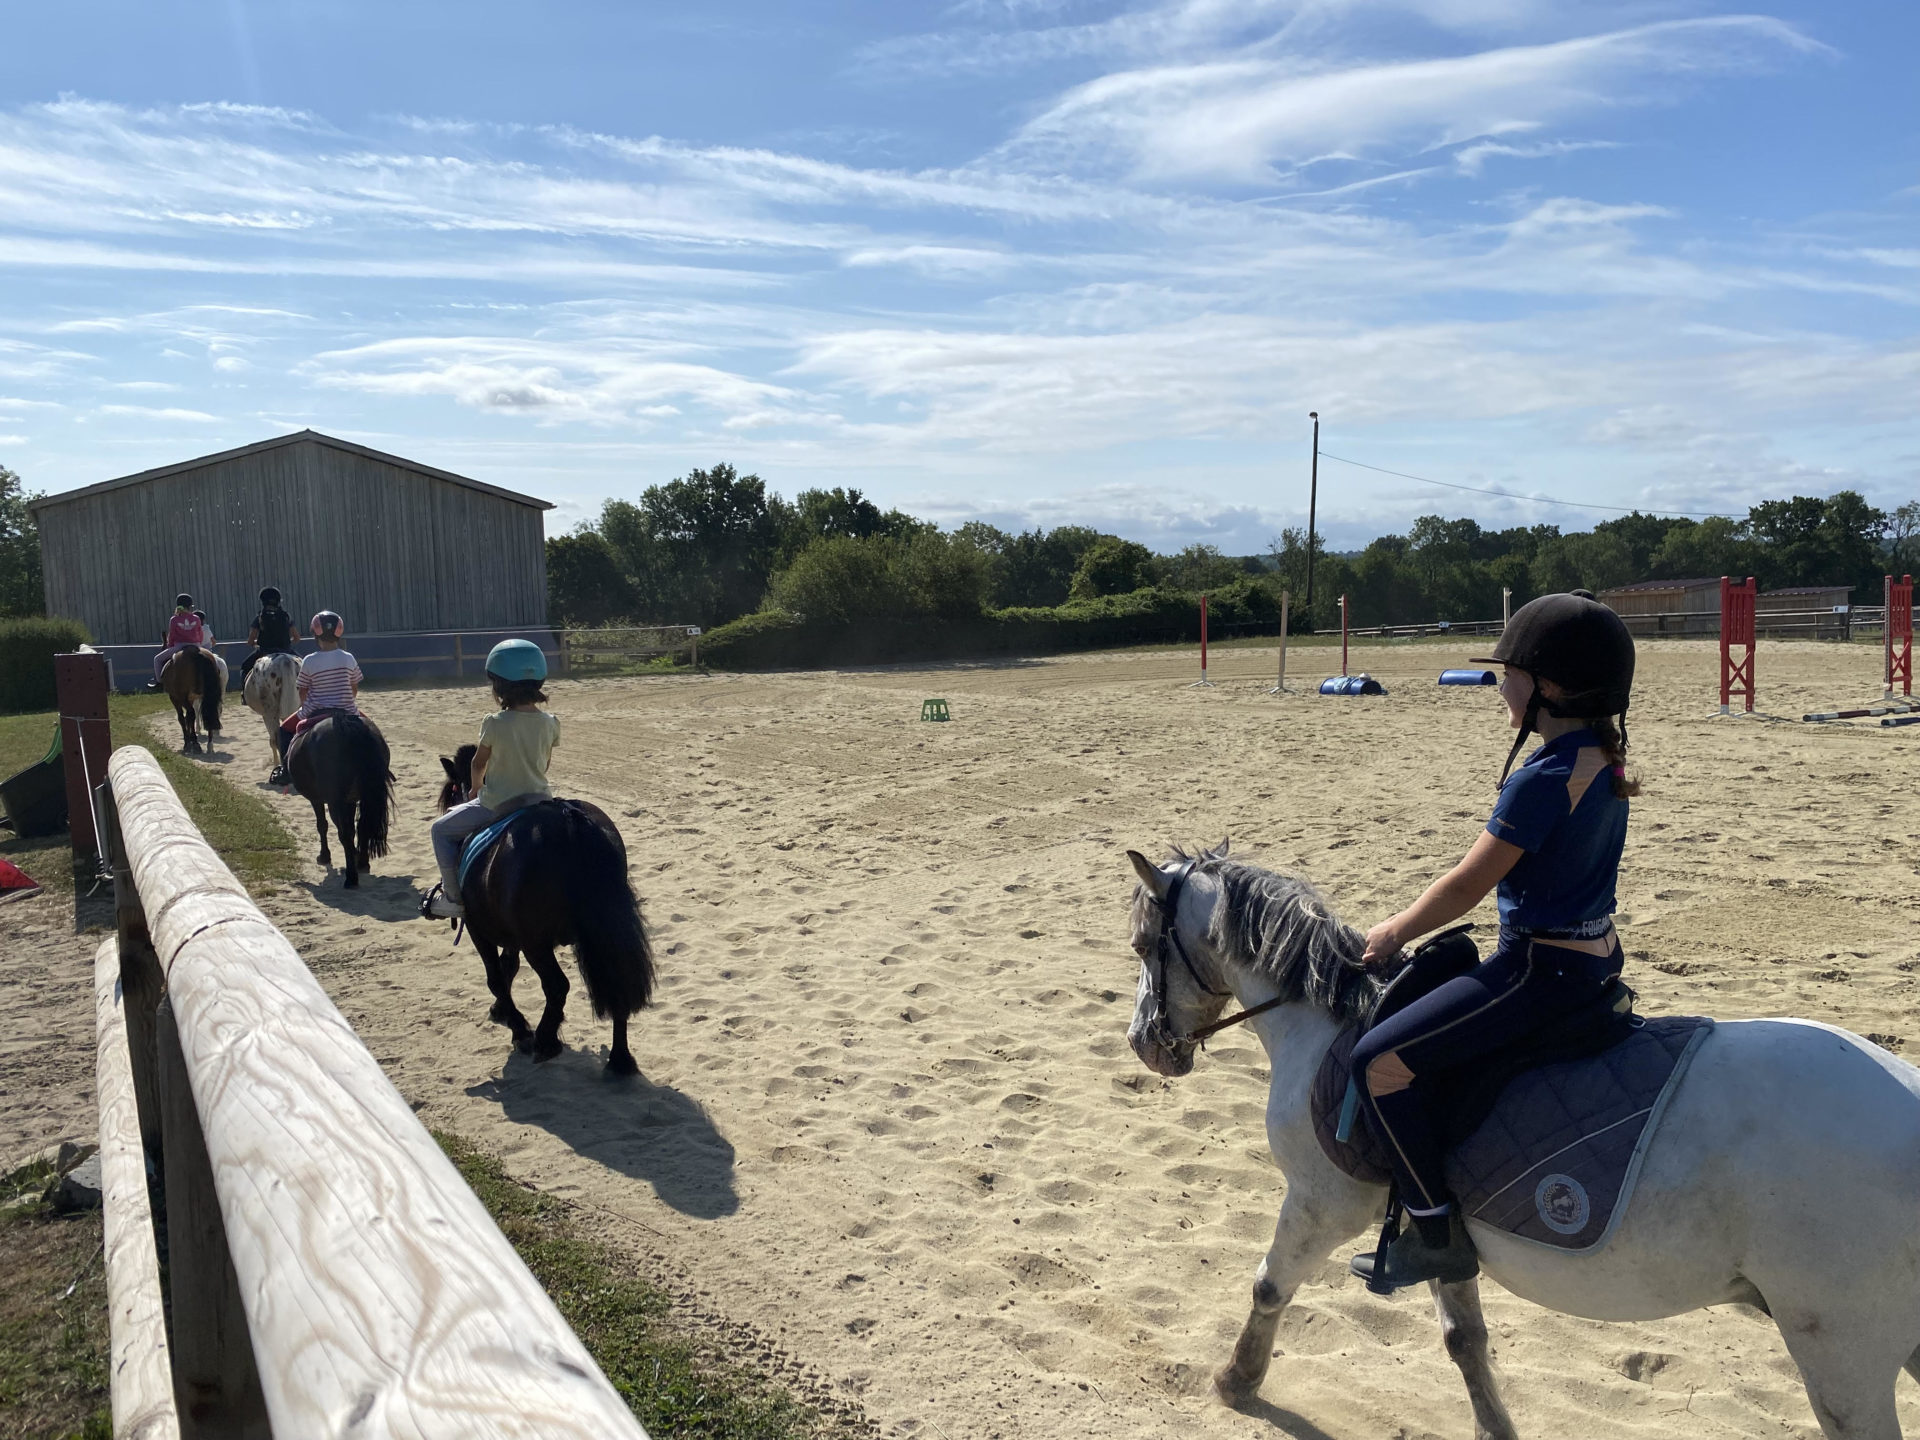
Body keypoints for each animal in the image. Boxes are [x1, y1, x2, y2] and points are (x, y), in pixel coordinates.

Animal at [286, 714, 391, 890]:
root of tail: (346, 721)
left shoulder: (318, 799)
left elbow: (322, 825)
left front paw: (324, 856)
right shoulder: (350, 801)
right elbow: (353, 828)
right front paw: (355, 855)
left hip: (335, 801)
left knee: (345, 834)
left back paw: (351, 878)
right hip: (363, 797)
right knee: (362, 826)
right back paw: (362, 863)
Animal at [435, 748, 652, 1075]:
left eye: (450, 791)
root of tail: (569, 818)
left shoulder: (478, 929)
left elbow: (495, 976)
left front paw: (519, 1028)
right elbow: (508, 967)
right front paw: (501, 1010)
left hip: (536, 943)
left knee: (557, 986)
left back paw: (545, 1041)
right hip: (603, 932)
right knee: (617, 981)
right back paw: (619, 1060)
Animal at [1121, 844, 1920, 1440]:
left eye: (1142, 943)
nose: (1144, 1045)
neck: (1331, 1028)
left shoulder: (1323, 1203)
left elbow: (1268, 1285)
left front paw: (1236, 1381)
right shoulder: (1436, 1224)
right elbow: (1464, 1339)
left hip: (1841, 1351)